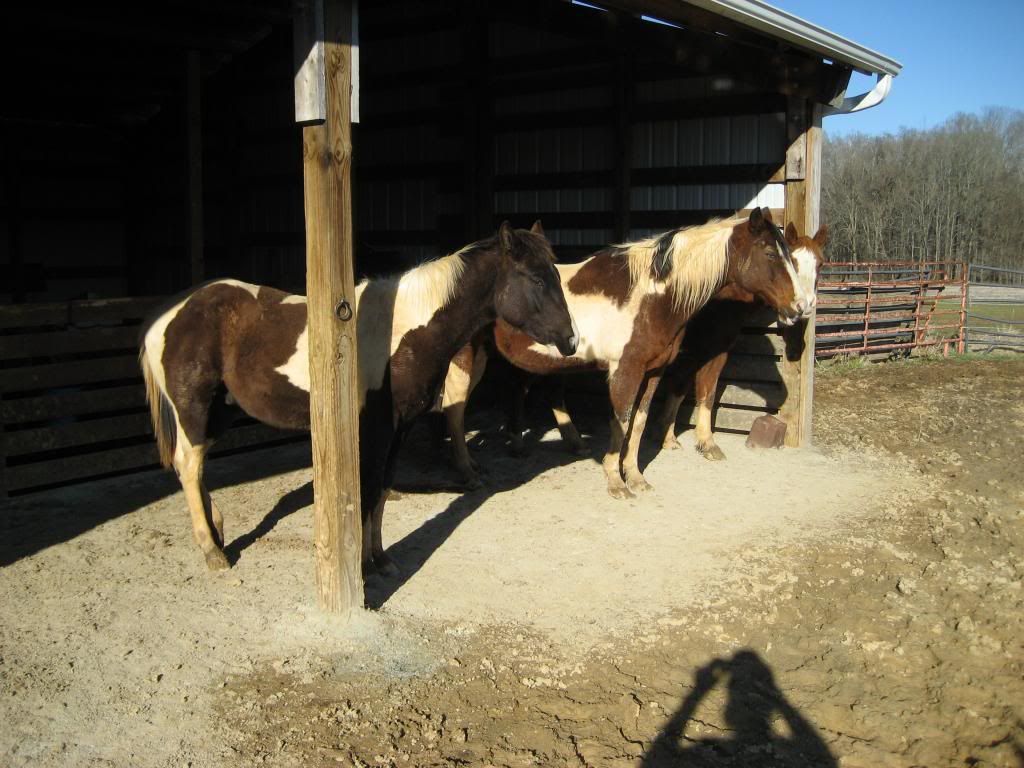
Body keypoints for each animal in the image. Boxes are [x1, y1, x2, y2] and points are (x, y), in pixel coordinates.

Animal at [139, 221, 578, 573]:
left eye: (555, 276)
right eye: (536, 280)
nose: (570, 341)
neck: (403, 332)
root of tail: (168, 315)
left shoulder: (401, 427)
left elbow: (382, 488)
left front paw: (381, 559)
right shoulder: (376, 428)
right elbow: (367, 491)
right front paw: (364, 564)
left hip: (220, 412)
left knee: (193, 468)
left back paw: (216, 529)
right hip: (194, 410)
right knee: (189, 466)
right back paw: (213, 551)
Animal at [652, 222, 827, 459]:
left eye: (820, 264)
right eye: (792, 260)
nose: (805, 305)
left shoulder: (710, 351)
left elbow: (697, 391)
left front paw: (683, 439)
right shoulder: (693, 352)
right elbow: (690, 388)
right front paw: (696, 439)